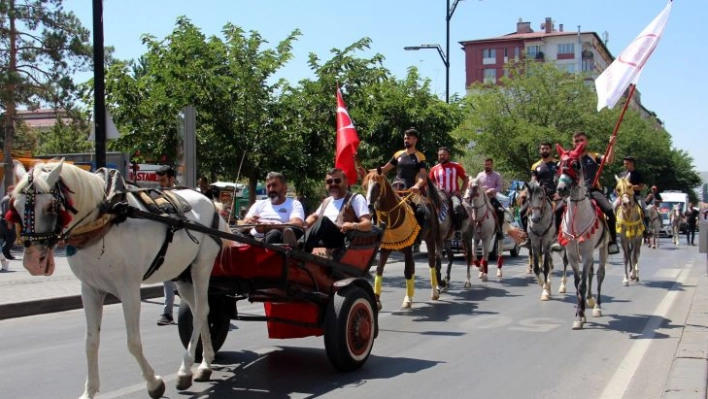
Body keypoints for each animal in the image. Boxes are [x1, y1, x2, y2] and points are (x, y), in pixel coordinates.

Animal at [9, 160, 230, 399]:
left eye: (50, 206)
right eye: (16, 207)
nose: (33, 262)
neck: (107, 217)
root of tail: (209, 201)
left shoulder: (129, 289)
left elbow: (133, 342)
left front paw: (154, 383)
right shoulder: (90, 289)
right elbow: (91, 342)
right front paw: (90, 391)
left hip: (202, 266)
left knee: (200, 312)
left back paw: (185, 370)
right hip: (182, 274)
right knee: (202, 310)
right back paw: (205, 363)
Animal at [362, 169, 440, 310]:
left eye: (377, 185)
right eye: (365, 186)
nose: (369, 206)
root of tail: (428, 201)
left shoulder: (408, 248)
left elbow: (407, 272)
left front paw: (407, 299)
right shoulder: (385, 249)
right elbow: (379, 270)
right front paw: (377, 301)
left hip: (430, 240)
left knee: (431, 263)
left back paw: (434, 292)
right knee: (413, 266)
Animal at [560, 142, 608, 330]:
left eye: (575, 165)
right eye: (558, 165)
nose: (561, 189)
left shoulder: (587, 254)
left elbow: (581, 284)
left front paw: (580, 316)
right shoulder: (572, 255)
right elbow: (577, 283)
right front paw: (579, 315)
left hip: (602, 249)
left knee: (600, 274)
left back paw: (598, 307)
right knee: (591, 274)